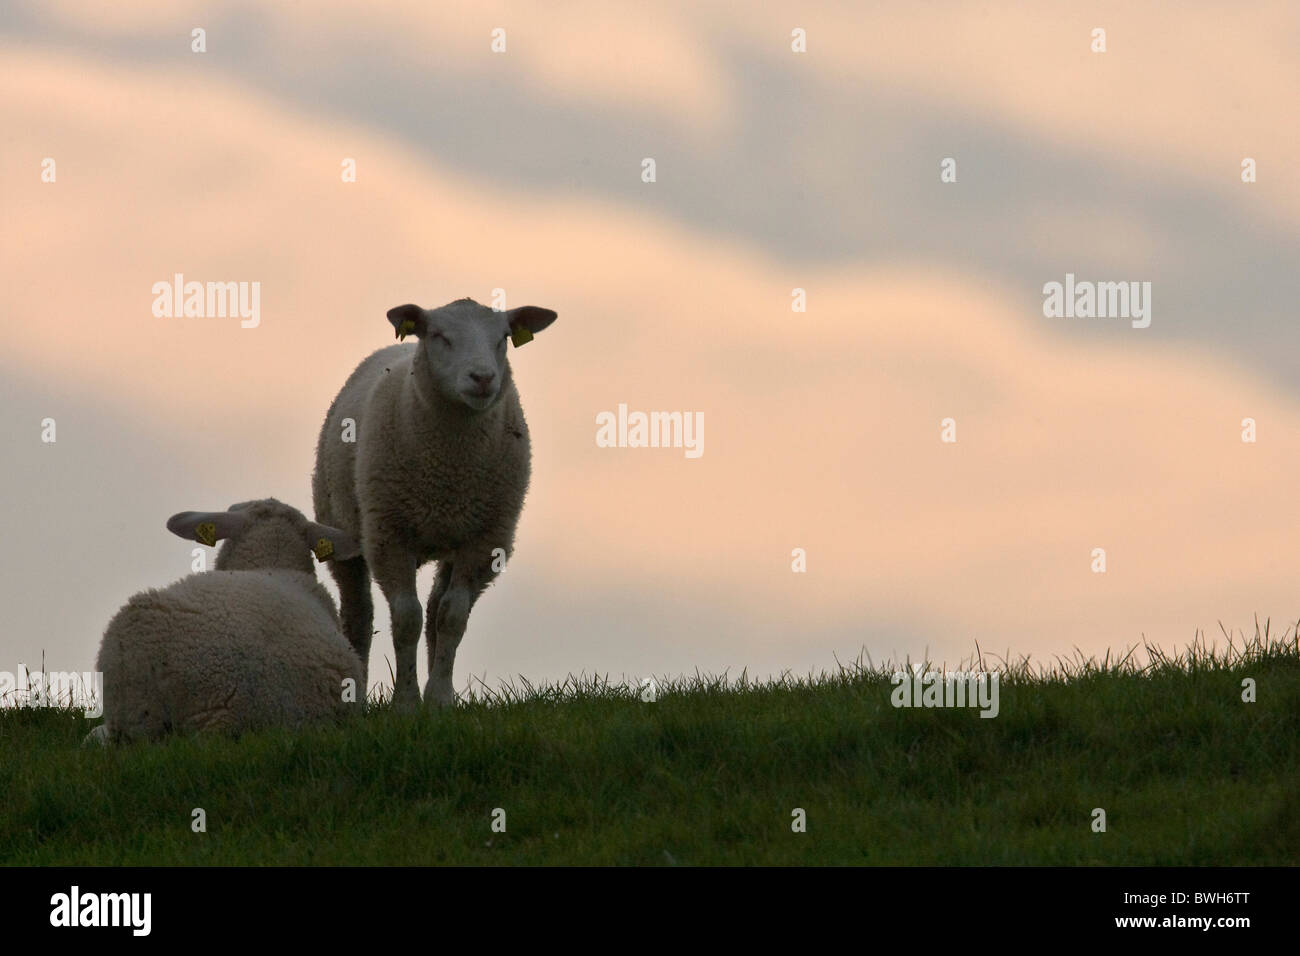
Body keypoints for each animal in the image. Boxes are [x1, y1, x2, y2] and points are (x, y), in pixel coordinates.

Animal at [313, 297, 557, 710]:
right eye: (440, 335)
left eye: (504, 337)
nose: (483, 378)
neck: (449, 471)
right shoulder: (389, 535)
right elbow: (405, 619)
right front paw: (406, 703)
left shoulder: (484, 540)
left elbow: (451, 617)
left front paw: (440, 699)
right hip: (342, 531)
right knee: (359, 615)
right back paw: (355, 693)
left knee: (434, 611)